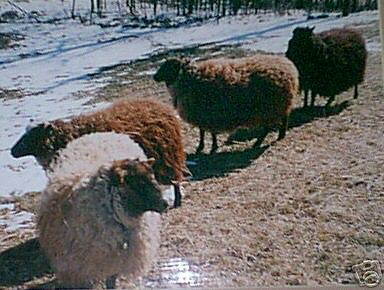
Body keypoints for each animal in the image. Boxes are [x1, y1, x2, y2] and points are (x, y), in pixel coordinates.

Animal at [10, 98, 186, 207]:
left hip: (168, 154)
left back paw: (177, 201)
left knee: (175, 178)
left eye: (33, 136)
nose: (12, 152)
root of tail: (159, 105)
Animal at [153, 55, 300, 154]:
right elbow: (204, 132)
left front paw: (207, 147)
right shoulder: (206, 116)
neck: (188, 80)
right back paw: (280, 135)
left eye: (170, 66)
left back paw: (258, 143)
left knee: (268, 128)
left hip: (271, 108)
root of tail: (289, 67)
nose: (154, 77)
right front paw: (207, 147)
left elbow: (205, 132)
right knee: (283, 119)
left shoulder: (205, 116)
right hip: (278, 106)